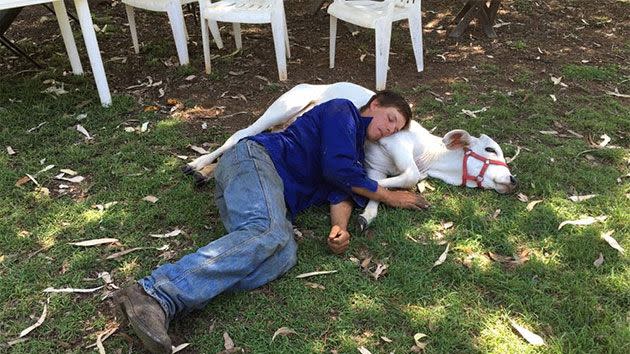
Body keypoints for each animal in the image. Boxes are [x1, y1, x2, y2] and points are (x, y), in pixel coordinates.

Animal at [184, 82, 520, 228]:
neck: (427, 153)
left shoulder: (377, 168)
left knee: (257, 137)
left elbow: (377, 187)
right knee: (242, 133)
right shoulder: (396, 146)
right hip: (284, 105)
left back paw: (205, 174)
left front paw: (366, 215)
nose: (513, 180)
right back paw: (196, 164)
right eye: (490, 149)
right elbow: (405, 178)